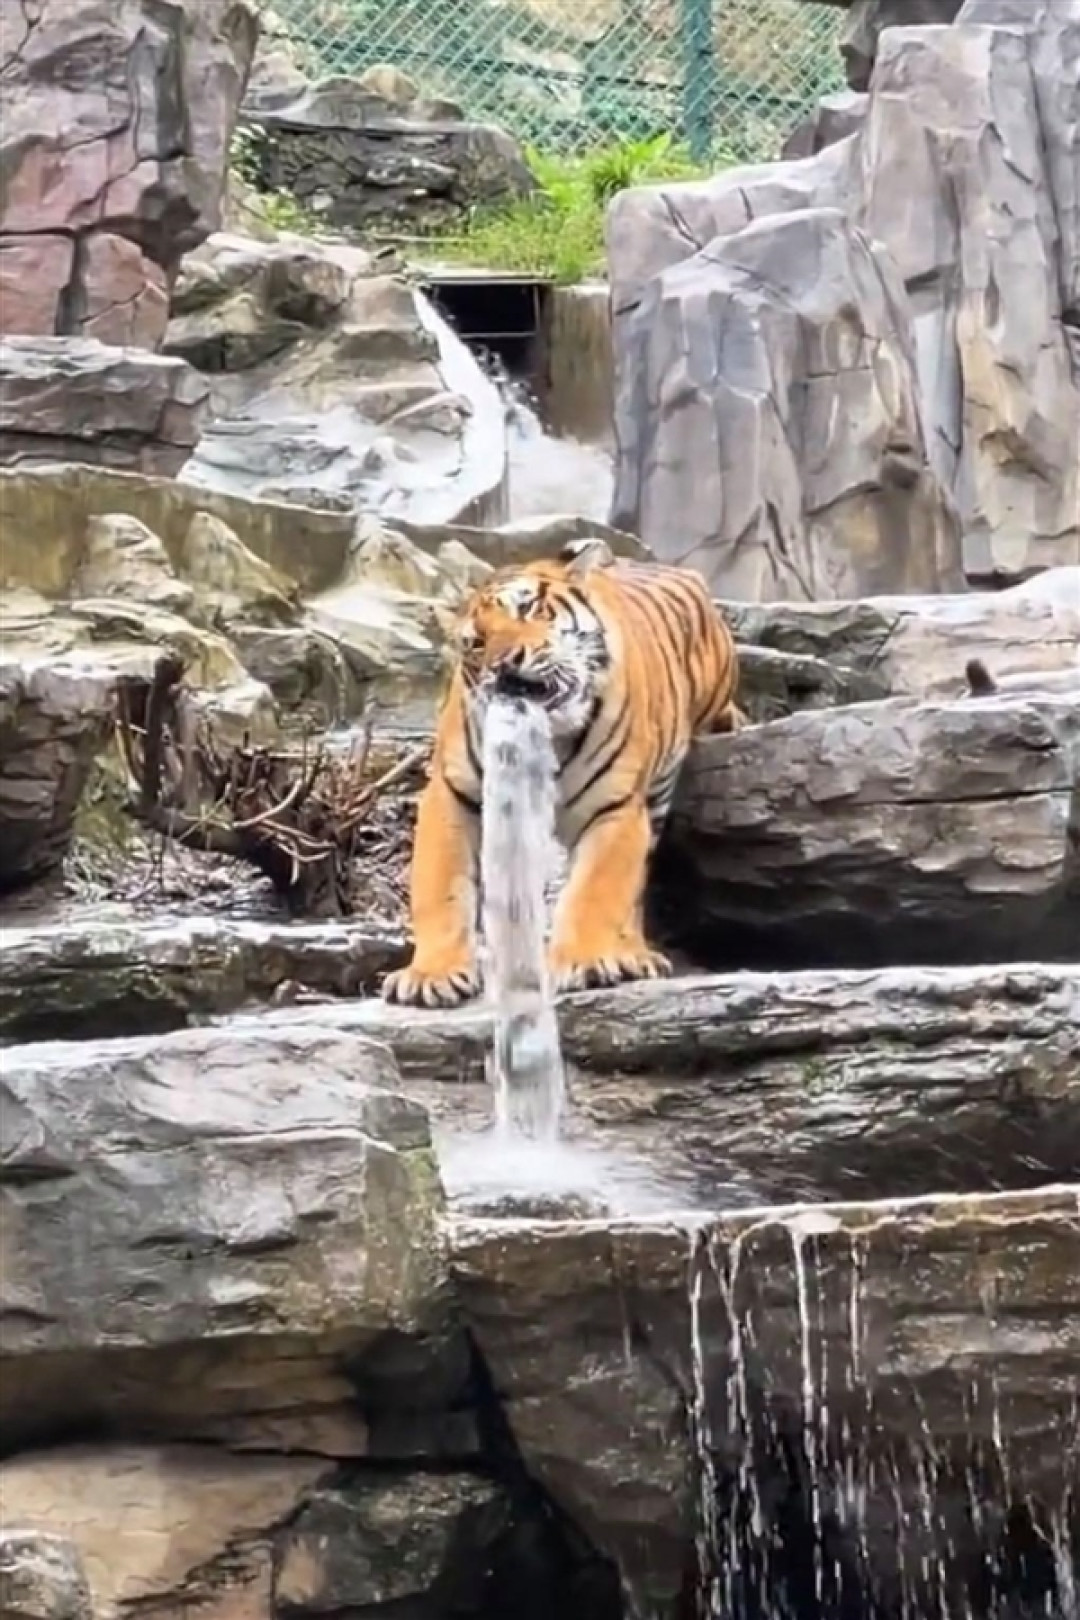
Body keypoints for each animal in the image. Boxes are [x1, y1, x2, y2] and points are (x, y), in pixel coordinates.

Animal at [381, 538, 743, 1008]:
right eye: (476, 642)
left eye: (528, 608)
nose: (505, 663)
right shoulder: (453, 796)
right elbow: (439, 891)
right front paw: (431, 975)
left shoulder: (614, 808)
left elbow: (593, 891)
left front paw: (584, 964)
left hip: (660, 790)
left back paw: (632, 953)